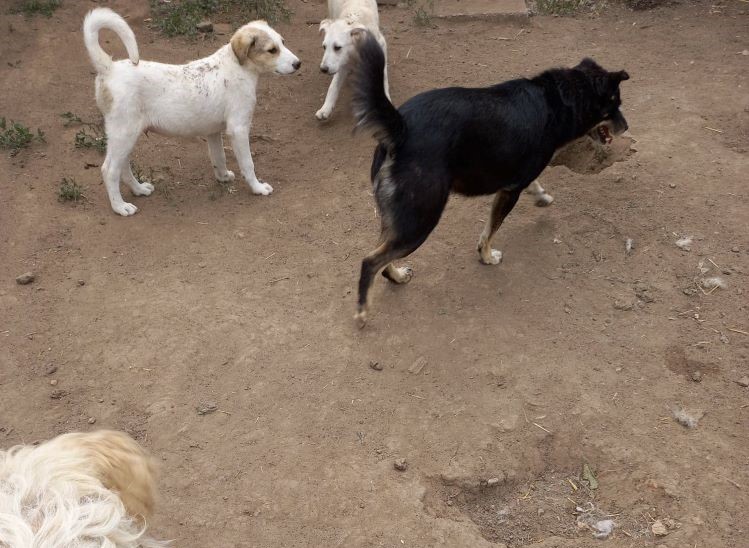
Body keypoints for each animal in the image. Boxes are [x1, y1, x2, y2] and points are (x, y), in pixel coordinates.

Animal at [83, 7, 300, 216]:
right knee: (109, 170)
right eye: (272, 50)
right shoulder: (238, 129)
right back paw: (120, 207)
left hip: (126, 135)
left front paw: (223, 177)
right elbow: (248, 164)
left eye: (283, 42)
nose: (298, 64)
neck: (239, 66)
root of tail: (109, 68)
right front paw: (258, 188)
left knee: (123, 166)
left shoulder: (213, 132)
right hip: (124, 133)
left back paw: (139, 189)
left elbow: (219, 157)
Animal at [354, 33, 628, 326]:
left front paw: (542, 197)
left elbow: (533, 186)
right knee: (370, 261)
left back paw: (395, 276)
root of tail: (401, 130)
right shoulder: (509, 191)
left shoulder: (517, 179)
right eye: (614, 105)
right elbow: (490, 231)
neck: (556, 100)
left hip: (400, 218)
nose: (626, 127)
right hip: (421, 220)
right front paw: (486, 257)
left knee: (381, 257)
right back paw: (362, 310)